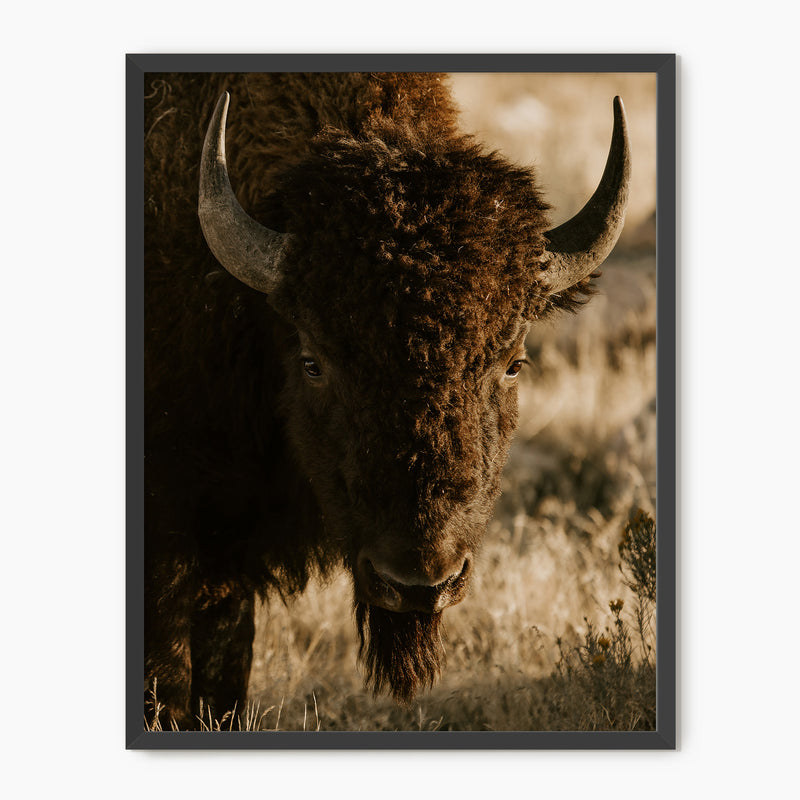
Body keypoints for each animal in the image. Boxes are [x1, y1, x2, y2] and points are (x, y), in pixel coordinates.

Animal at [143, 72, 630, 729]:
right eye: (313, 361)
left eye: (514, 362)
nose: (420, 584)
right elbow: (168, 681)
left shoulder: (227, 559)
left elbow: (222, 678)